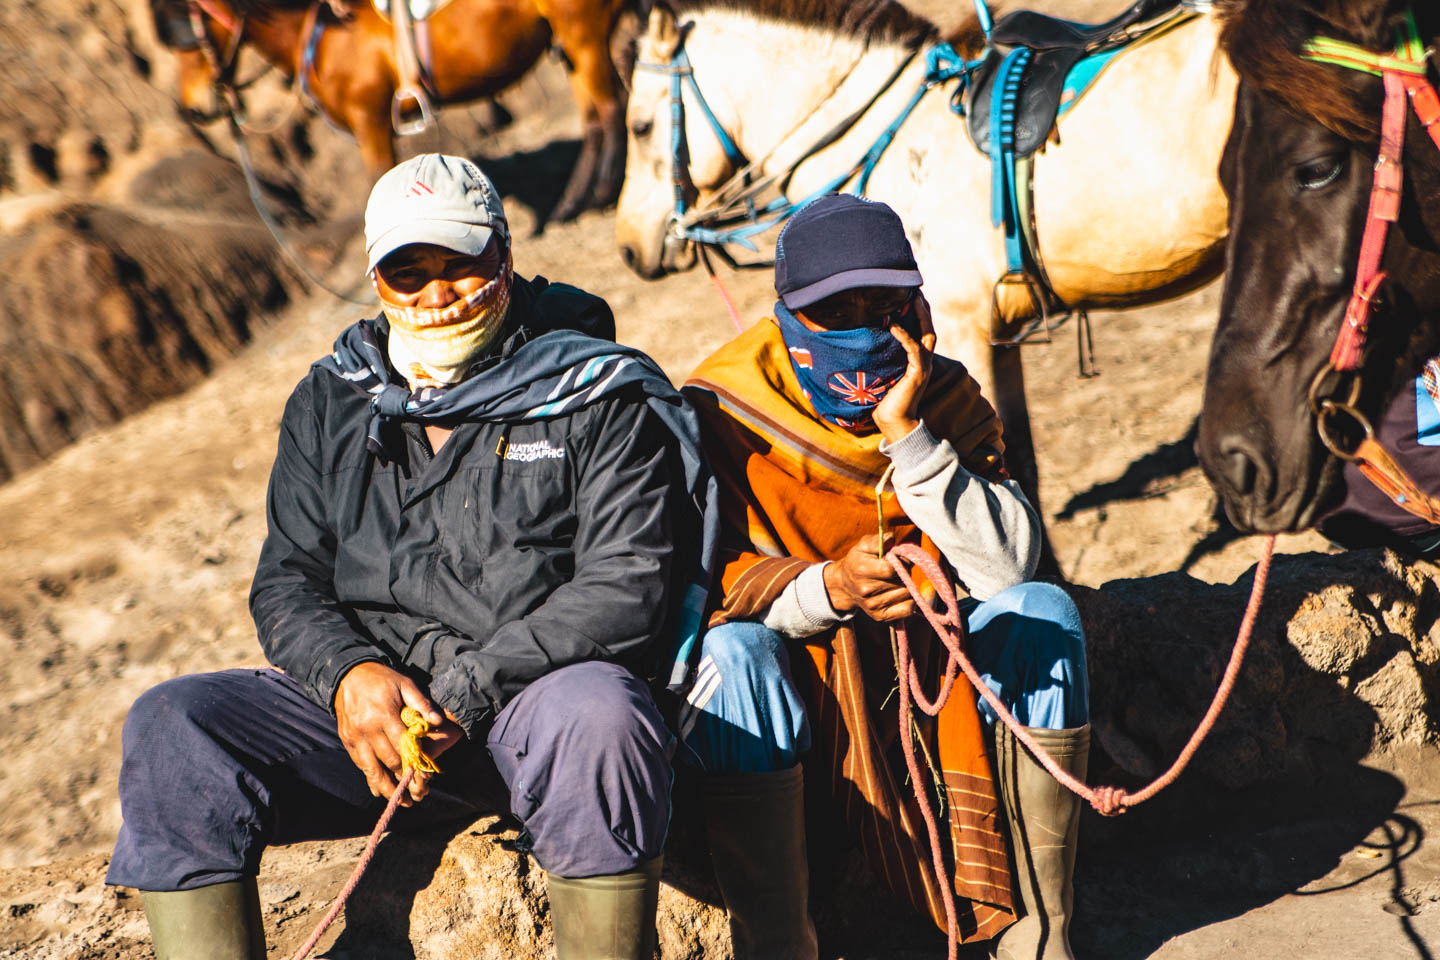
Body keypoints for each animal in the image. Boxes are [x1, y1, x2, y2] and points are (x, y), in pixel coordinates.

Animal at [153, 0, 636, 220]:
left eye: (185, 31)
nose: (194, 108)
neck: (324, 32)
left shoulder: (370, 123)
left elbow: (378, 182)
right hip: (567, 42)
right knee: (595, 118)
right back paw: (573, 202)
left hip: (583, 34)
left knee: (612, 108)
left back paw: (601, 192)